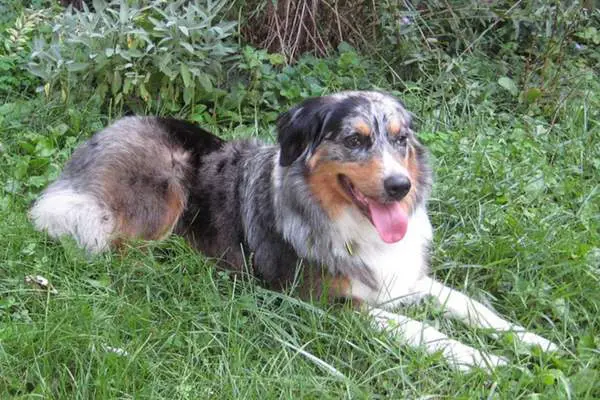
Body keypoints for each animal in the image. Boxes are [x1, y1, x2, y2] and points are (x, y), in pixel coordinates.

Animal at [29, 91, 556, 372]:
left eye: (400, 139)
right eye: (356, 140)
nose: (399, 185)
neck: (346, 219)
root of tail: (95, 140)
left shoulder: (401, 276)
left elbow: (472, 306)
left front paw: (535, 342)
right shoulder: (327, 303)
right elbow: (424, 329)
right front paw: (487, 362)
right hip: (165, 185)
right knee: (117, 247)